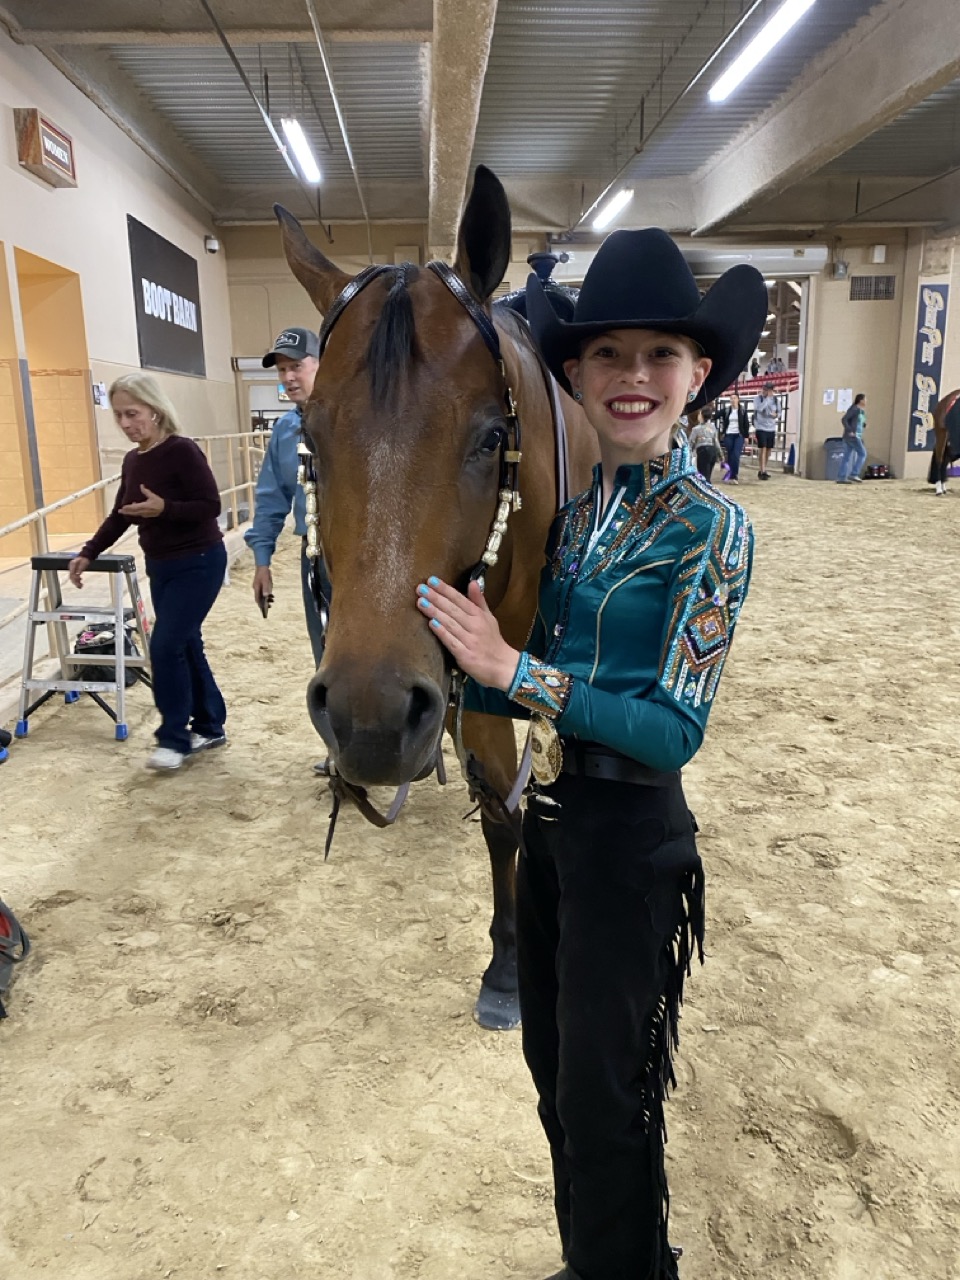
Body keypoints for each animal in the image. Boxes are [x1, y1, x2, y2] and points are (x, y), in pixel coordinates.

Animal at [274, 166, 596, 1030]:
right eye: (309, 439)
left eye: (491, 438)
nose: (371, 717)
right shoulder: (472, 680)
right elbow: (499, 809)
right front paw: (507, 960)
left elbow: (519, 804)